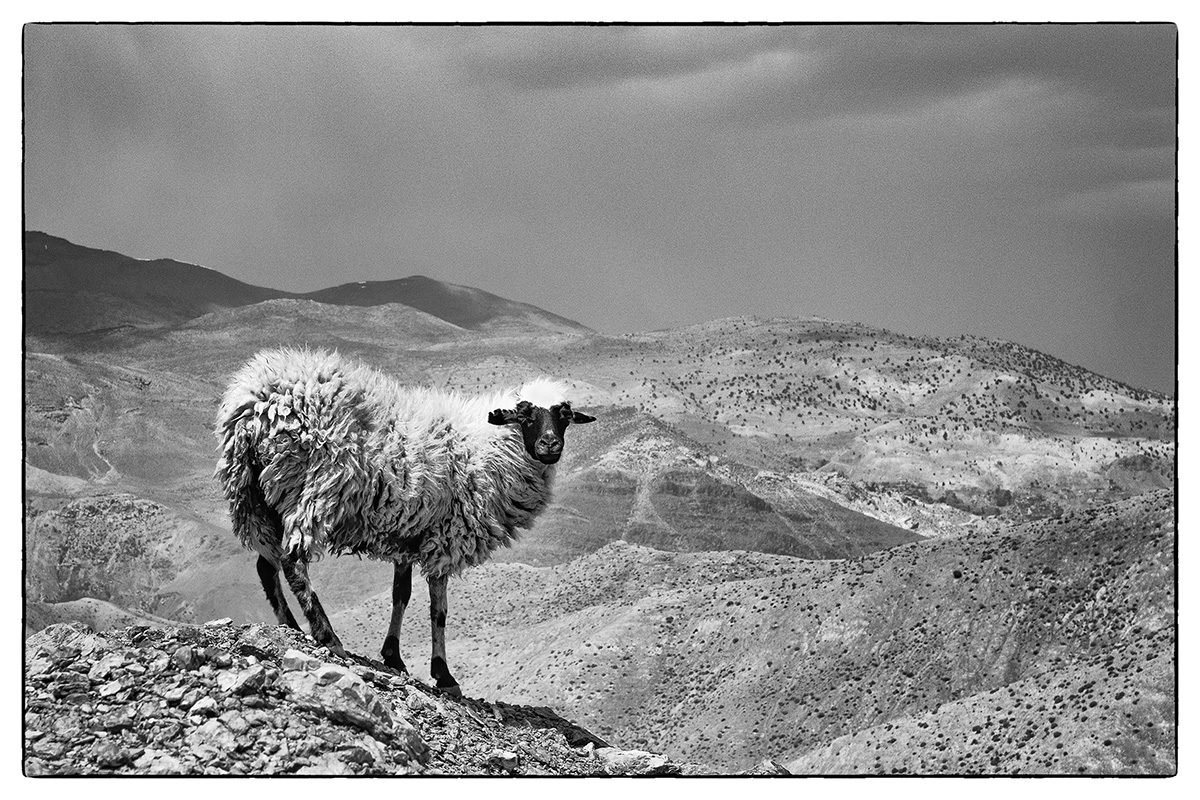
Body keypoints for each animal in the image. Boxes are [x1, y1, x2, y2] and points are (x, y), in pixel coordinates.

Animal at [214, 347, 595, 694]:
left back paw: (290, 626)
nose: (550, 445)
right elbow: (439, 610)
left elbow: (401, 594)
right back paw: (327, 635)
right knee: (293, 561)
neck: (487, 449)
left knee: (267, 565)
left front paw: (394, 657)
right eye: (525, 415)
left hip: (256, 497)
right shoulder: (447, 535)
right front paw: (443, 674)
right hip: (315, 486)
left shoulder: (409, 529)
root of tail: (254, 405)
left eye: (564, 416)